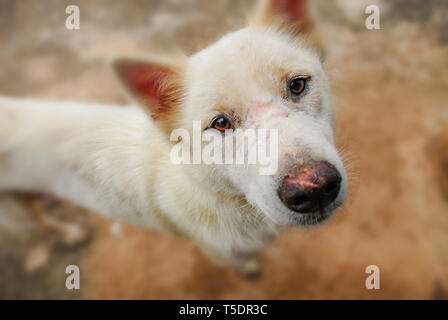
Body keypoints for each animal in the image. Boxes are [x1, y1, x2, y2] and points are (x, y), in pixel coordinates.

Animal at [0, 0, 346, 272]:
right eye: (220, 123)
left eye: (297, 85)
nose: (314, 188)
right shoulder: (221, 253)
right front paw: (249, 269)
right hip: (16, 214)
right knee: (40, 222)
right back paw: (68, 232)